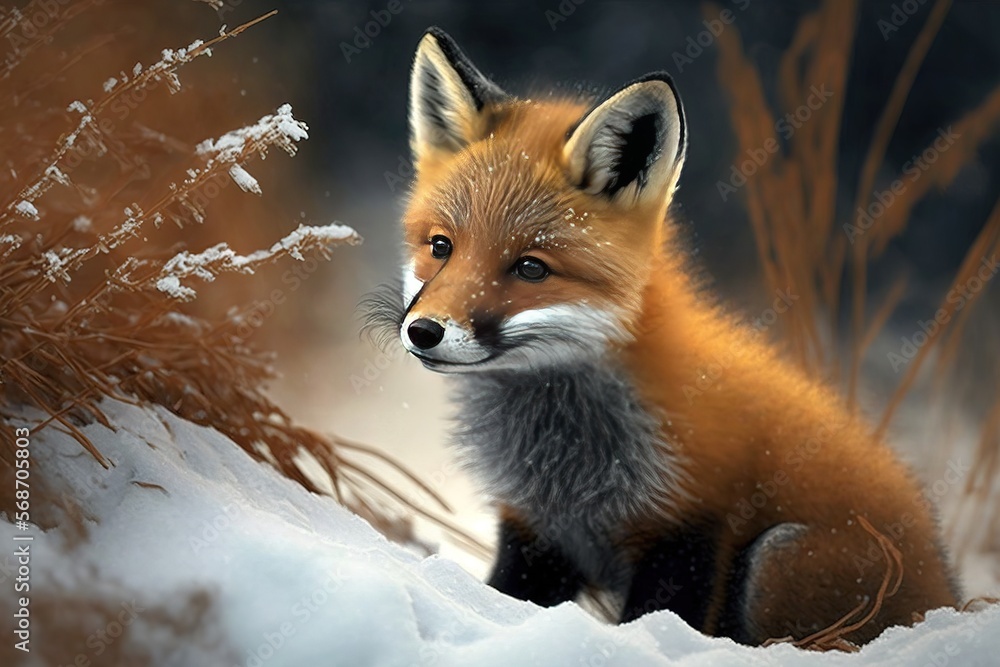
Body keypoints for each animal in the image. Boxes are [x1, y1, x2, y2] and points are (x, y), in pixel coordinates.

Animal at [365, 27, 959, 646]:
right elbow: (506, 595)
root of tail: (950, 592)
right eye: (441, 247)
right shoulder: (537, 532)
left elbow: (661, 620)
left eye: (530, 268)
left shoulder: (690, 529)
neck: (566, 460)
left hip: (777, 559)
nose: (424, 331)